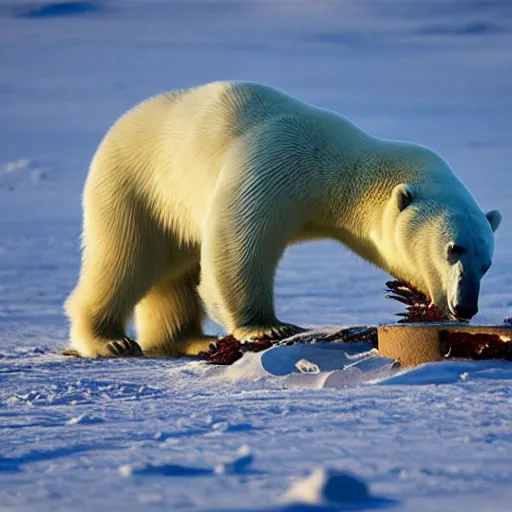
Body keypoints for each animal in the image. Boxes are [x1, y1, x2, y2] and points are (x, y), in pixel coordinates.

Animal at [64, 82, 500, 358]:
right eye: (453, 248)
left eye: (487, 263)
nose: (465, 307)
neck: (337, 169)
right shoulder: (274, 163)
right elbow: (238, 242)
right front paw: (269, 327)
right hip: (136, 184)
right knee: (125, 260)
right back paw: (109, 340)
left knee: (173, 275)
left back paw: (191, 340)